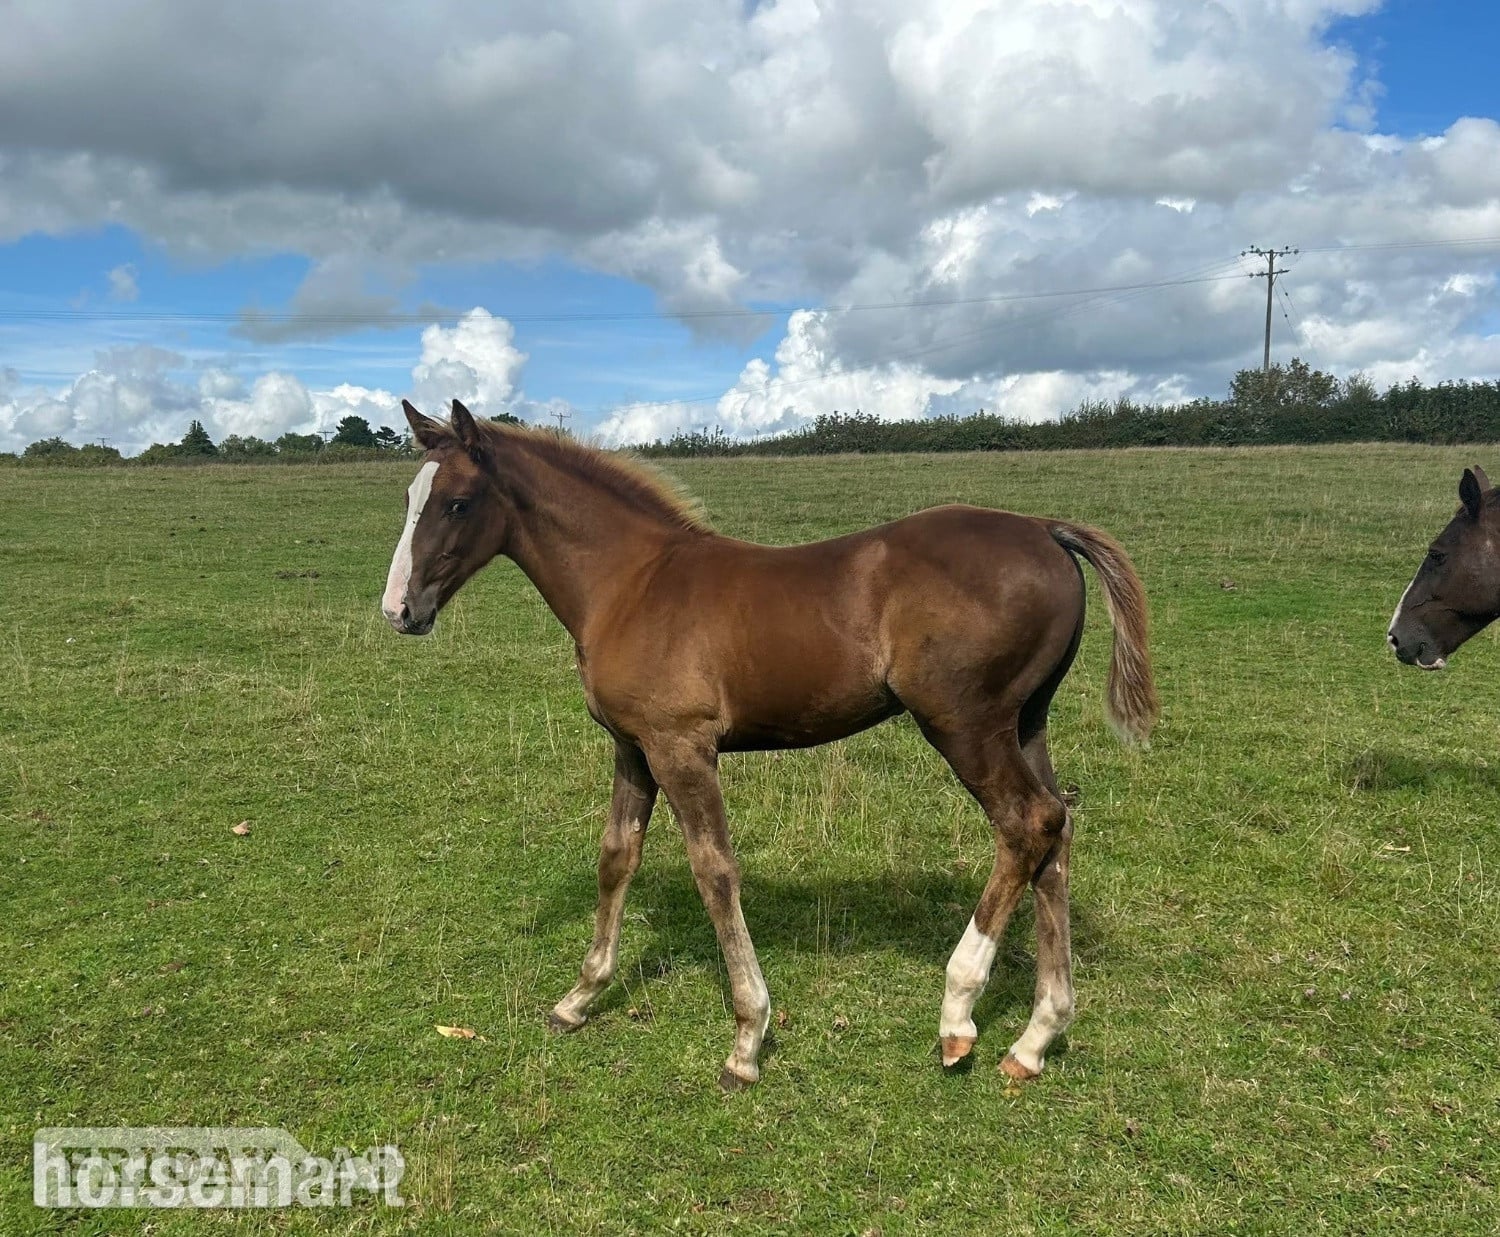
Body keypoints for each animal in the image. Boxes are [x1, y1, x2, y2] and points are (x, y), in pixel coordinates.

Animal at [381, 399, 1158, 1090]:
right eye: (412, 496)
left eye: (456, 502)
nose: (399, 611)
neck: (631, 583)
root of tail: (1044, 528)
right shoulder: (633, 748)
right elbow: (616, 858)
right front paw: (579, 998)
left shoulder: (681, 747)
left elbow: (715, 871)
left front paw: (747, 1039)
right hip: (1026, 722)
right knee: (1056, 831)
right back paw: (1035, 1037)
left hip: (965, 724)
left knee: (1025, 824)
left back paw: (957, 1012)